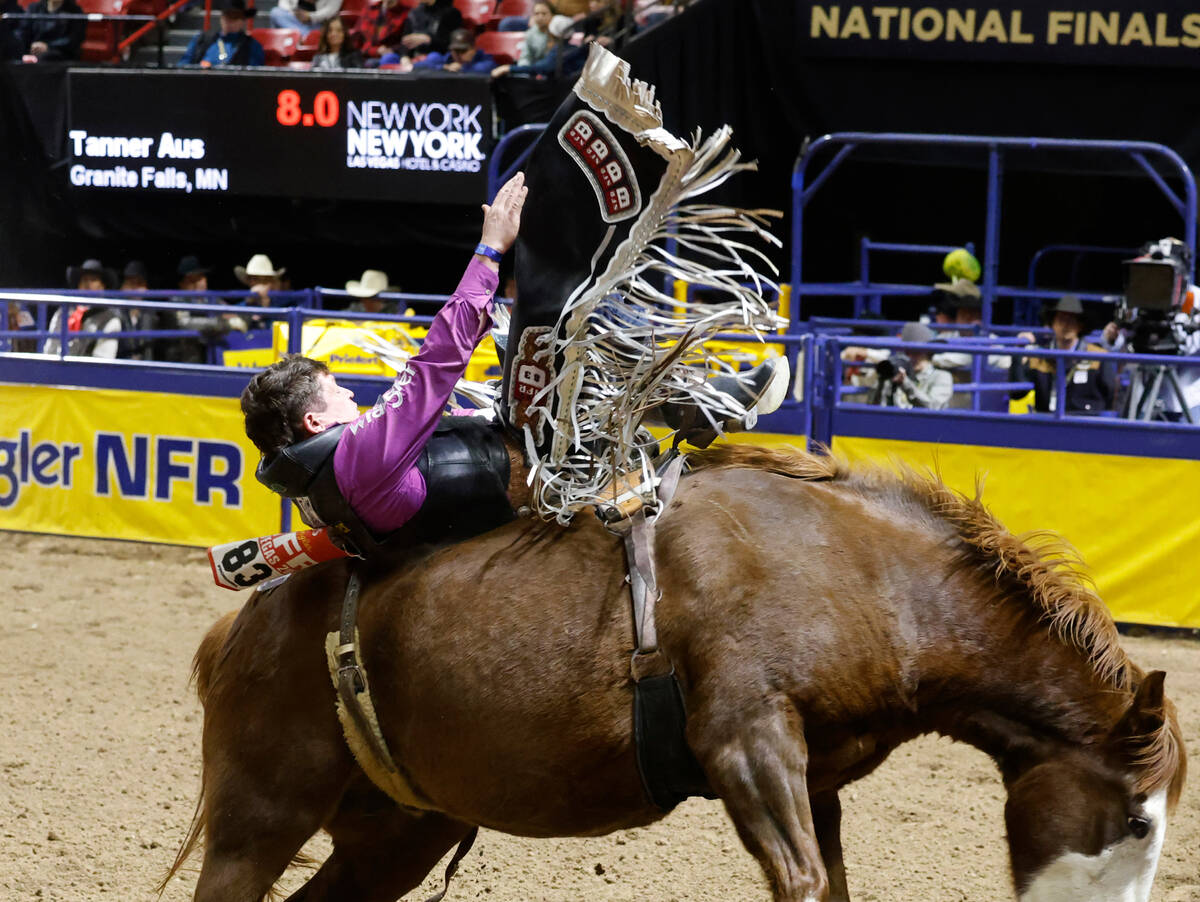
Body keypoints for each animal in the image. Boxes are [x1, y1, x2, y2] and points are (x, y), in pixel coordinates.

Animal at [164, 446, 1185, 902]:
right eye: (1138, 819)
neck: (862, 573)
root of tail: (242, 623)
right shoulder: (745, 744)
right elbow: (800, 882)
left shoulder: (816, 776)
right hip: (262, 814)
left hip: (397, 833)